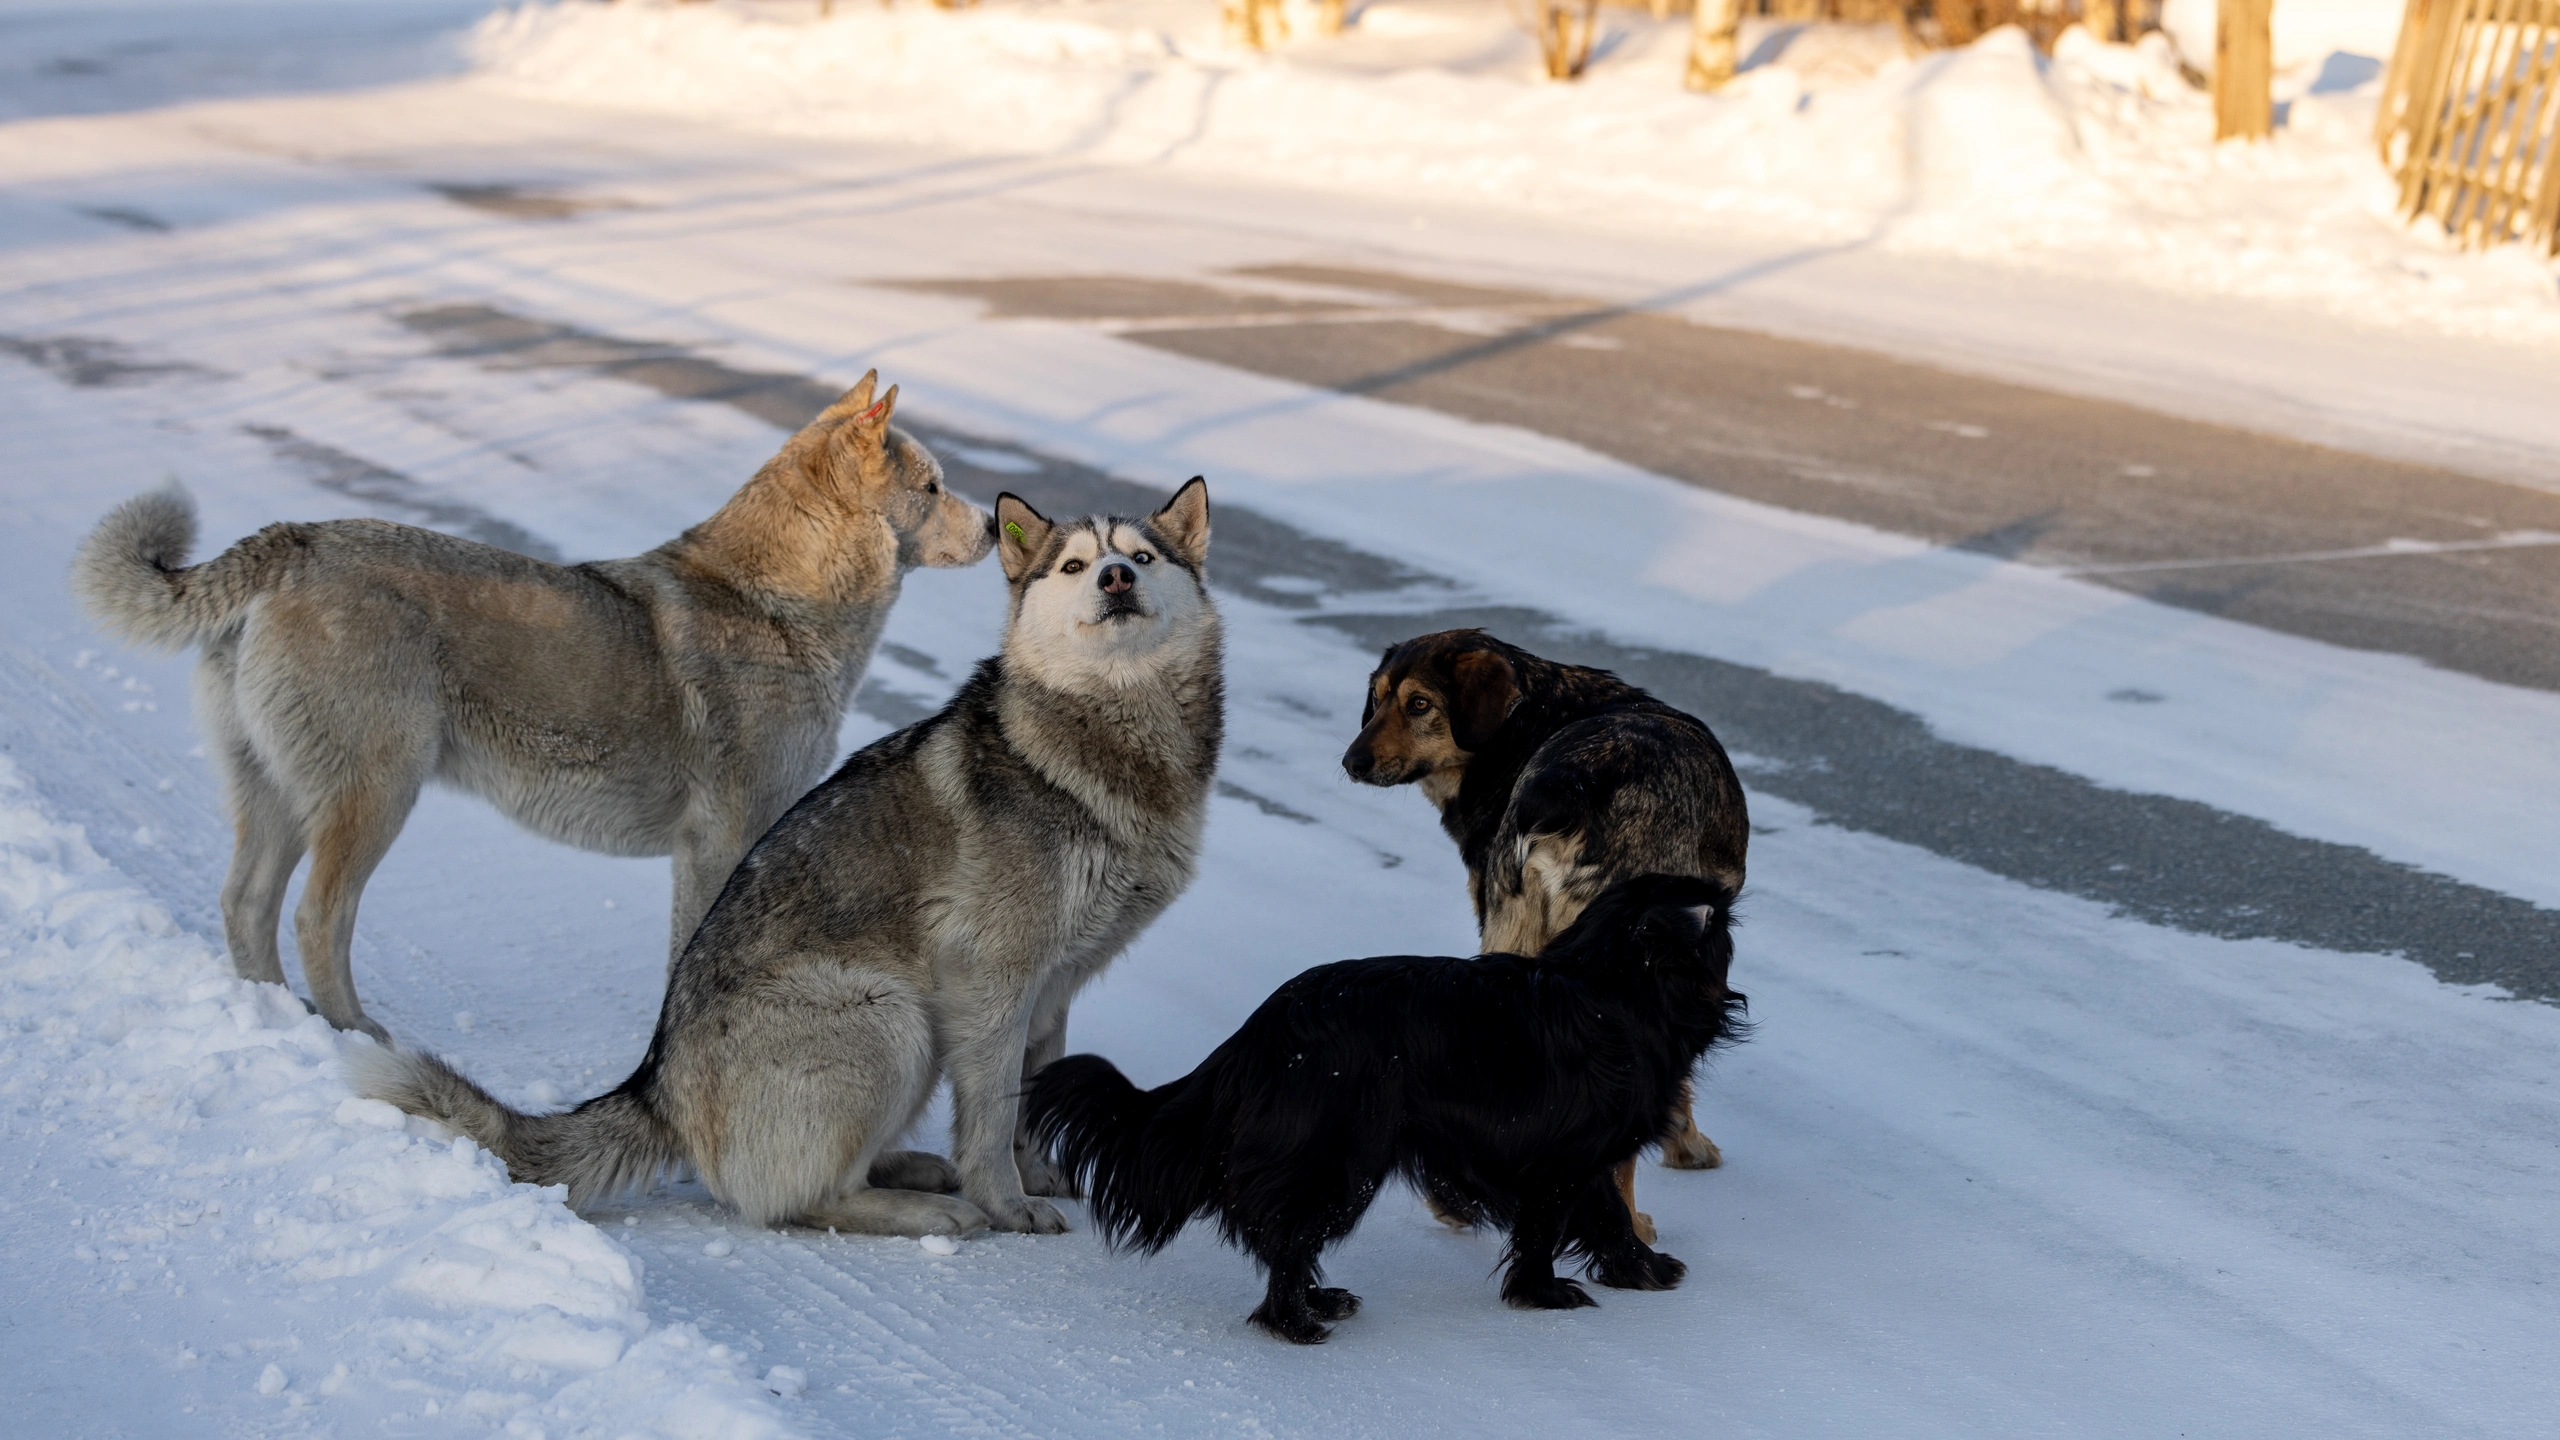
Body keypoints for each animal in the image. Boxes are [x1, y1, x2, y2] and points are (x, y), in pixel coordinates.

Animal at [70, 368, 988, 1035]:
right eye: (934, 487)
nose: (994, 526)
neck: (777, 606)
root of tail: (296, 541)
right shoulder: (720, 840)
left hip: (279, 794)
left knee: (247, 905)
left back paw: (285, 1020)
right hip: (374, 798)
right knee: (315, 919)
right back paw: (359, 1033)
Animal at [353, 479, 1218, 1235]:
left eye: (1142, 558)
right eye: (1073, 566)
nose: (1113, 578)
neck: (1102, 738)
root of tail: (660, 1085)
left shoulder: (1056, 985)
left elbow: (1033, 1100)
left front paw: (1038, 1177)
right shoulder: (995, 984)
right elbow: (990, 1122)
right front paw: (1010, 1206)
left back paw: (909, 1170)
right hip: (891, 1016)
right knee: (801, 1200)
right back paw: (930, 1211)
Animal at [1018, 871, 1740, 1342]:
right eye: (1722, 928)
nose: (1727, 889)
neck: (1611, 984)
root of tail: (1260, 1035)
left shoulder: (1580, 1161)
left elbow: (1609, 1216)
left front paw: (1641, 1269)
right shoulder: (1560, 1160)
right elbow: (1551, 1229)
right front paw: (1545, 1294)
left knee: (1284, 1237)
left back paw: (1318, 1301)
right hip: (1341, 1164)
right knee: (1287, 1240)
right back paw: (1296, 1323)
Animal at [1331, 625, 1751, 1235]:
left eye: (1418, 704)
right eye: (1380, 697)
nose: (1351, 761)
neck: (1532, 724)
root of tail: (1571, 783)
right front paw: (1689, 1148)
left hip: (1509, 934)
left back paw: (1456, 1203)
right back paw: (1628, 1226)